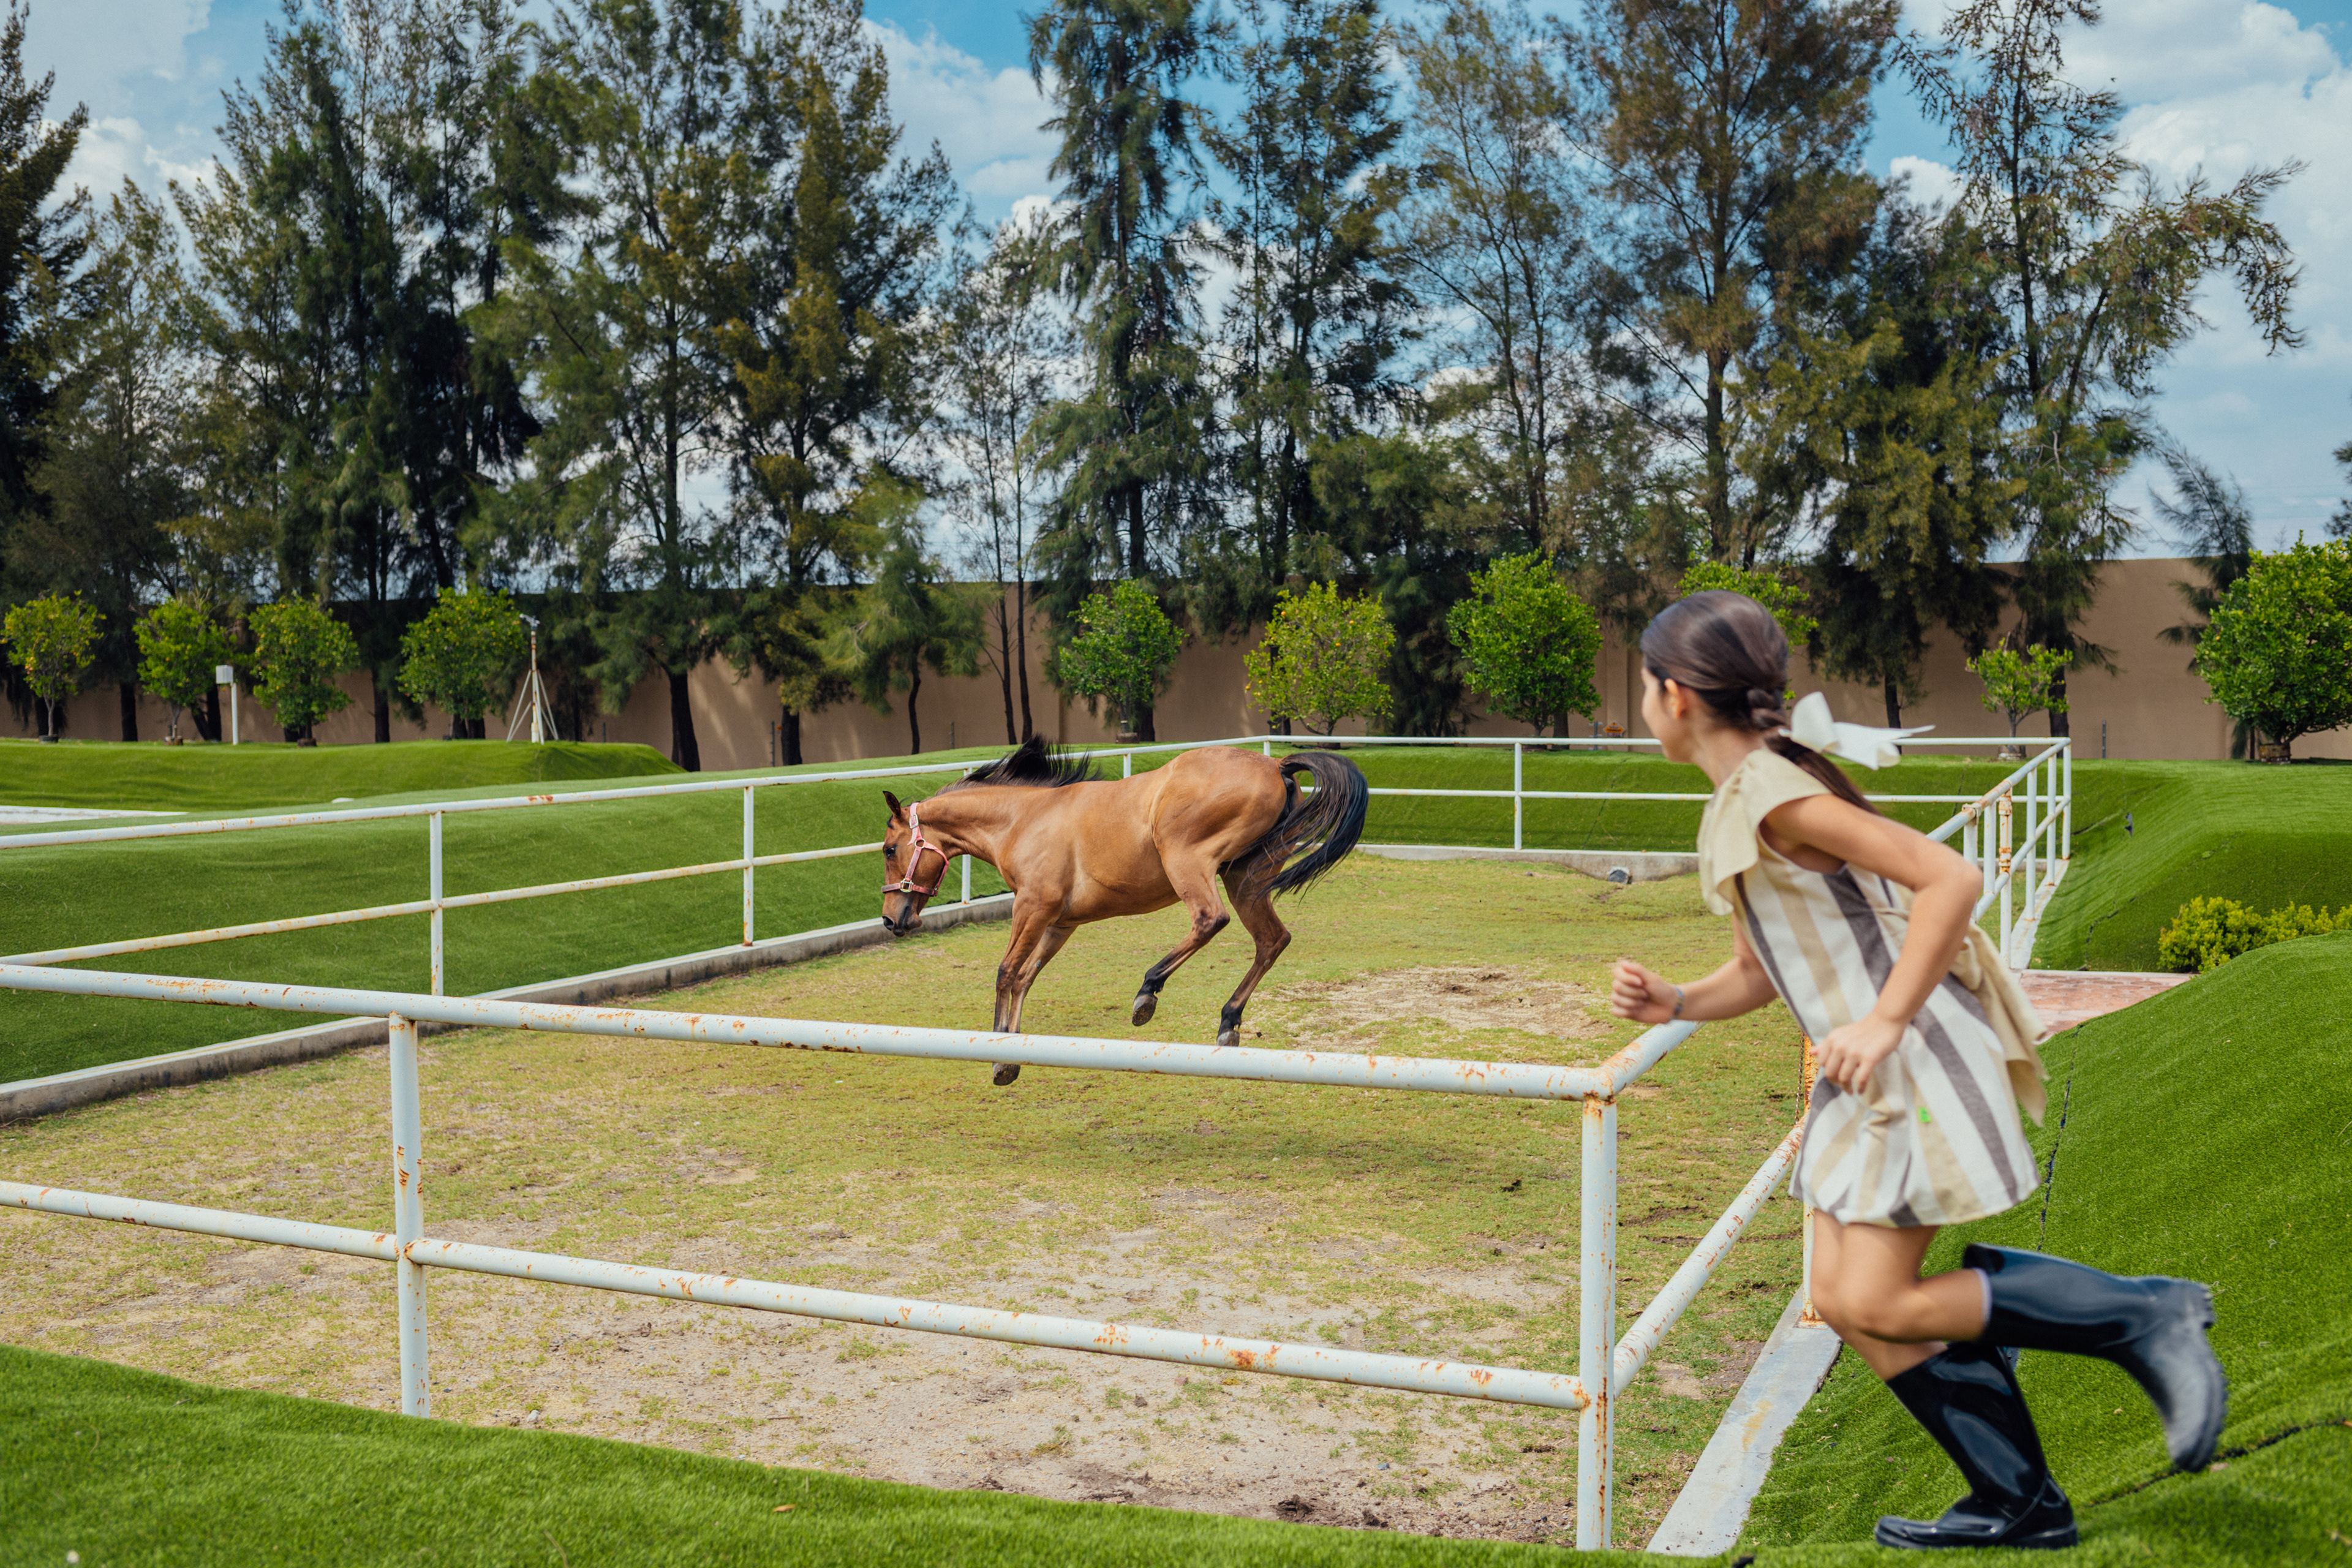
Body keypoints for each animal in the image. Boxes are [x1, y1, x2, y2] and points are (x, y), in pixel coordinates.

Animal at [876, 736, 1369, 1085]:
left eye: (888, 849)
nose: (890, 919)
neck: (1023, 819)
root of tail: (1275, 764)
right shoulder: (1060, 923)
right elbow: (1026, 976)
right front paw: (1012, 1052)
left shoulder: (1033, 907)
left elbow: (1006, 971)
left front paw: (1000, 1056)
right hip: (1246, 878)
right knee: (1272, 940)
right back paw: (1228, 1021)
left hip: (1188, 861)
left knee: (1211, 920)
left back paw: (1148, 992)